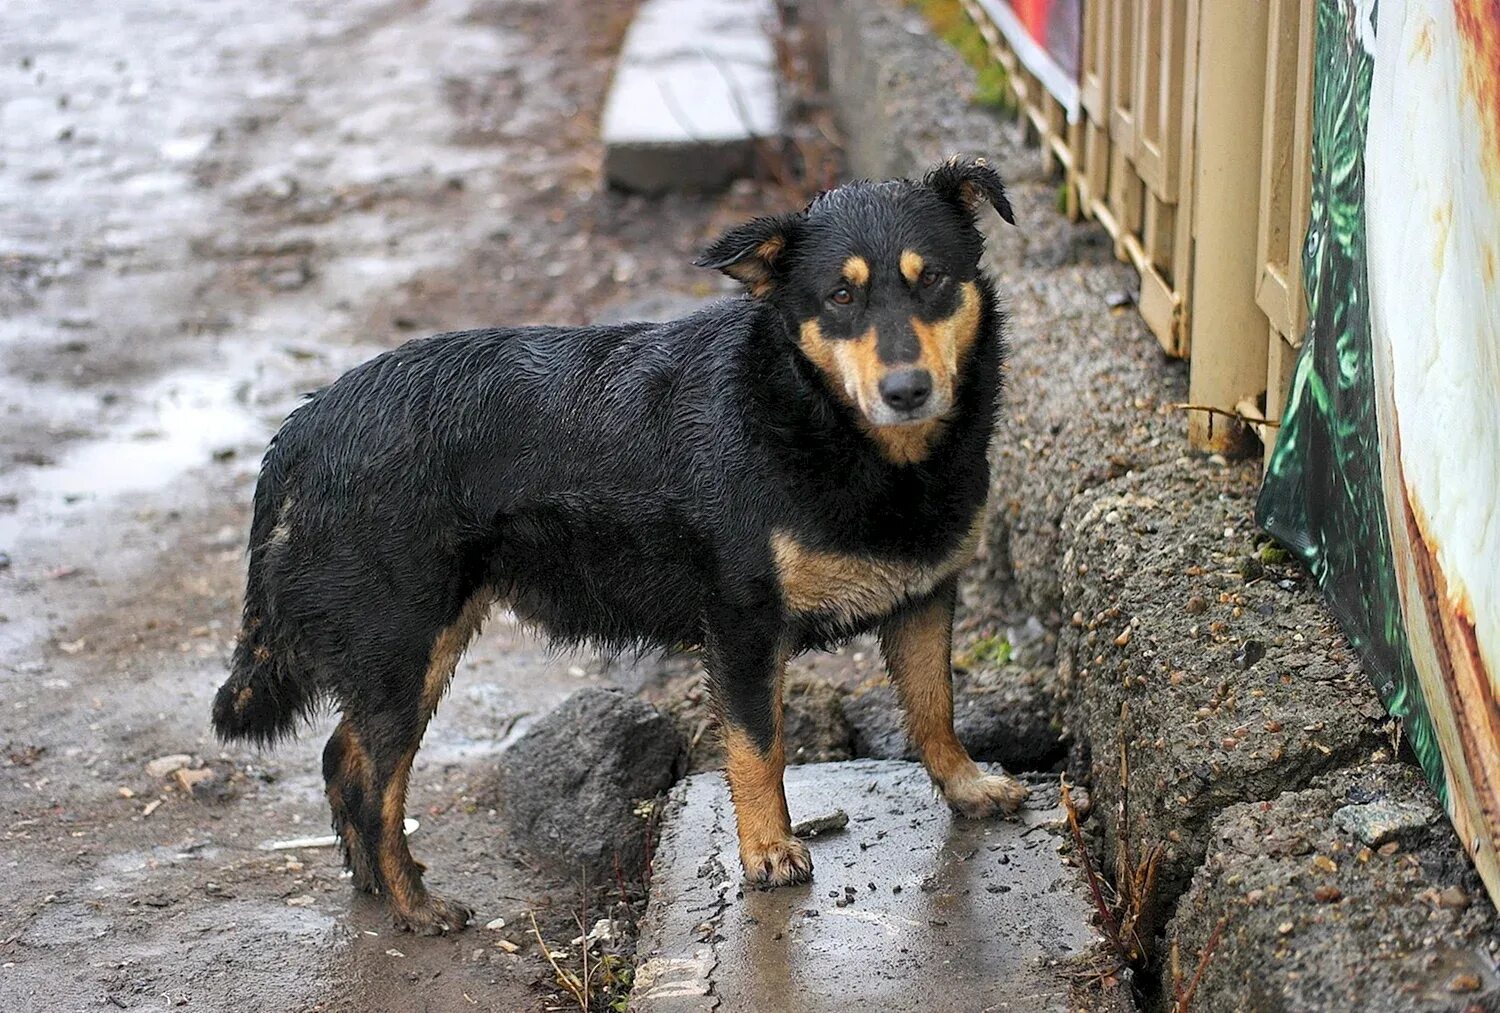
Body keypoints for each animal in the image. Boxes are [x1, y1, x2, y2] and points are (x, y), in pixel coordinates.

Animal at [211, 154, 1026, 930]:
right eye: (841, 297)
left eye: (934, 280)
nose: (907, 390)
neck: (820, 418)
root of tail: (302, 428)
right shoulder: (743, 622)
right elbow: (759, 747)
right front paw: (767, 849)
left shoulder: (926, 595)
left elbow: (935, 707)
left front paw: (965, 785)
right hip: (401, 642)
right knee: (375, 783)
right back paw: (414, 903)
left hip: (415, 644)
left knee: (340, 757)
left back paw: (372, 883)